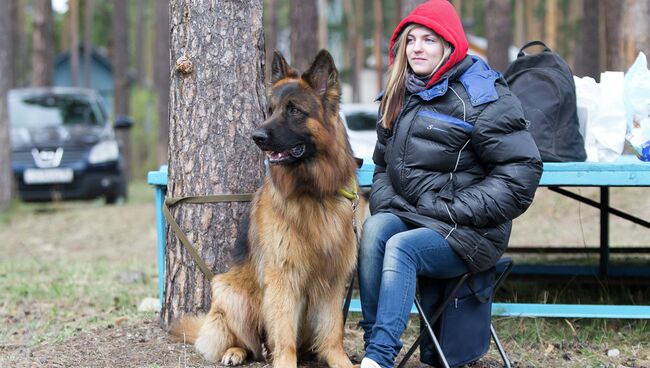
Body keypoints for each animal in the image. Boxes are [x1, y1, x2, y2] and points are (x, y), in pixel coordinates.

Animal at [170, 49, 364, 368]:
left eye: (293, 110)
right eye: (270, 110)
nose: (256, 137)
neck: (313, 192)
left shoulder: (333, 278)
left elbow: (333, 330)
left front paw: (340, 360)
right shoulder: (283, 277)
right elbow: (283, 336)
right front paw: (285, 362)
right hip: (229, 293)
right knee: (248, 343)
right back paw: (234, 352)